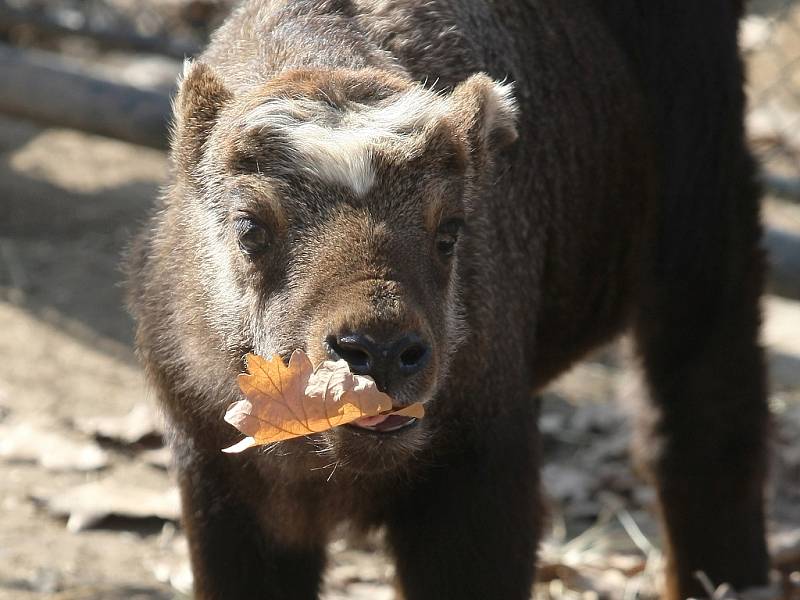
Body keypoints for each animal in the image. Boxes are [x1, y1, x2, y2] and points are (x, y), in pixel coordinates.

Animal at [128, 1, 772, 600]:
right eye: (249, 226)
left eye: (450, 230)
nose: (380, 353)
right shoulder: (222, 484)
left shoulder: (481, 480)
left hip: (702, 232)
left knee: (704, 416)